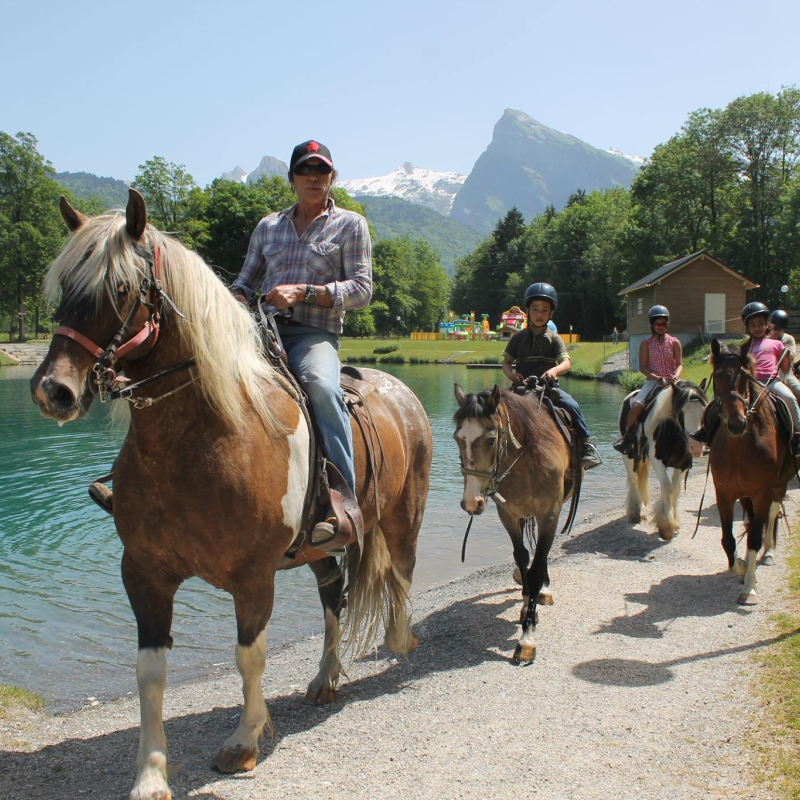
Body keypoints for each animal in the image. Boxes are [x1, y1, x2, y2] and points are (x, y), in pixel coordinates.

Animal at [31, 192, 434, 800]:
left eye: (120, 288)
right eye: (64, 287)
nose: (53, 390)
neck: (204, 437)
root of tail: (402, 393)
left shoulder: (253, 576)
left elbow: (250, 658)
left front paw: (243, 743)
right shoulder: (143, 572)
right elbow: (150, 673)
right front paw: (150, 773)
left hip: (402, 517)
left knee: (402, 576)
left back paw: (401, 642)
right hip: (316, 547)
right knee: (333, 593)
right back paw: (325, 678)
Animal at [454, 384, 580, 664]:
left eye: (490, 439)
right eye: (458, 438)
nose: (472, 502)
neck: (526, 459)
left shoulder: (550, 514)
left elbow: (537, 566)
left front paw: (527, 638)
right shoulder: (508, 514)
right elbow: (522, 558)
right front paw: (526, 607)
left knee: (542, 558)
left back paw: (543, 591)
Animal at [620, 378, 708, 540]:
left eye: (704, 410)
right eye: (681, 412)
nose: (697, 447)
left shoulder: (683, 462)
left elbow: (675, 488)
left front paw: (674, 524)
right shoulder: (658, 462)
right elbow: (667, 487)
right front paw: (667, 528)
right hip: (628, 456)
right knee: (634, 480)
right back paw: (636, 513)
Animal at [708, 338, 792, 608]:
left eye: (745, 377)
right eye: (717, 376)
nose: (736, 424)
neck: (739, 447)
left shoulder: (763, 493)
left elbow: (755, 536)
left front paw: (750, 589)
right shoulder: (724, 493)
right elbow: (728, 540)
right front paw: (741, 567)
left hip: (778, 486)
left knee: (772, 514)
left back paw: (769, 552)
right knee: (748, 518)